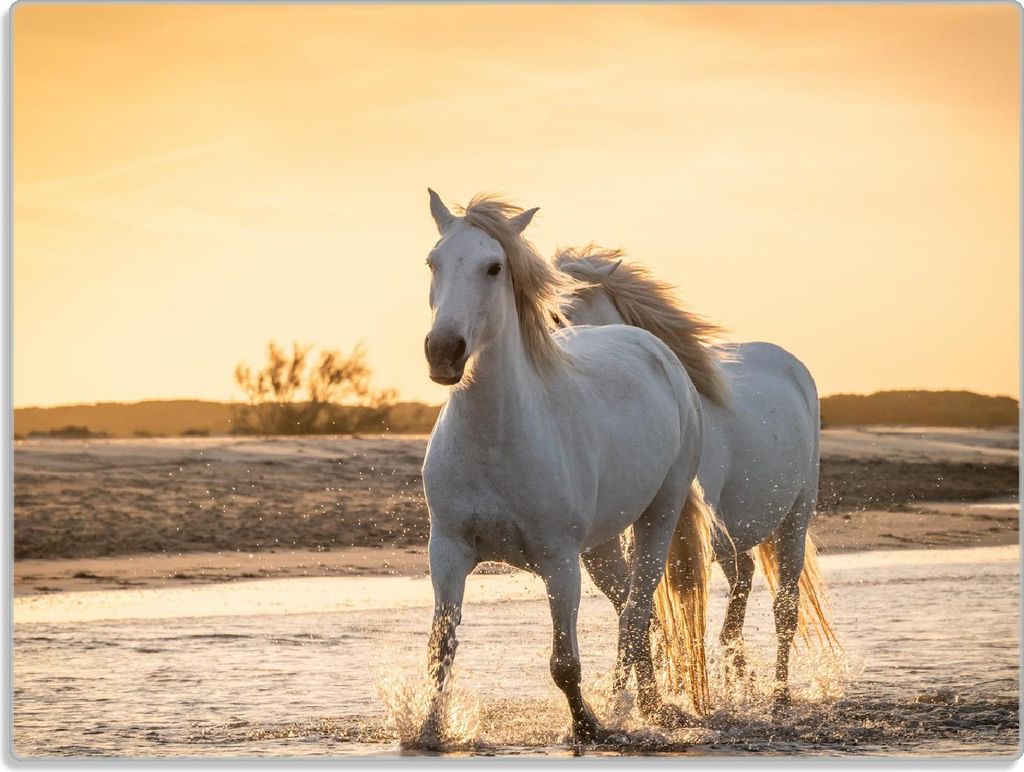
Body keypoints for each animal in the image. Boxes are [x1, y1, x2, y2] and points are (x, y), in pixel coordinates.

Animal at [419, 191, 718, 746]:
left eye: (494, 267)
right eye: (433, 262)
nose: (443, 351)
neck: (497, 439)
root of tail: (656, 351)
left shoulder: (558, 561)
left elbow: (564, 663)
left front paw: (587, 727)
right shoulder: (447, 552)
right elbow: (439, 652)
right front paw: (427, 732)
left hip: (658, 516)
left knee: (638, 612)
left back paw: (638, 709)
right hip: (600, 547)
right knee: (633, 611)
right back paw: (641, 703)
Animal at [554, 246, 839, 710]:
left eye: (562, 314)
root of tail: (791, 364)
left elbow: (654, 612)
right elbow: (638, 611)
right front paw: (632, 698)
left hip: (796, 516)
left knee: (785, 606)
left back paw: (778, 695)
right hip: (733, 537)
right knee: (741, 586)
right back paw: (742, 681)